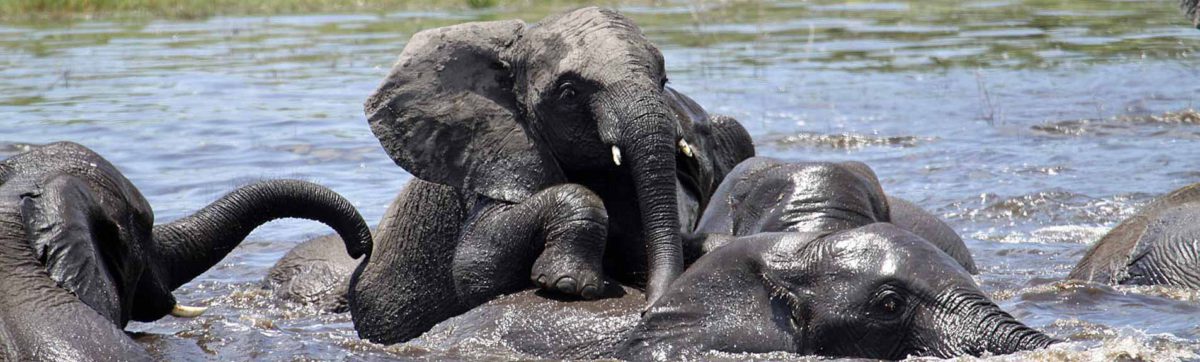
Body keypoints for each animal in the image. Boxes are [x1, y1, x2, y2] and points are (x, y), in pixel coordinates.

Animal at [338, 6, 748, 345]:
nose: (649, 308)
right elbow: (476, 267)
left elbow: (638, 248)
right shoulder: (491, 164)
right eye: (568, 93)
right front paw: (567, 287)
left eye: (663, 81)